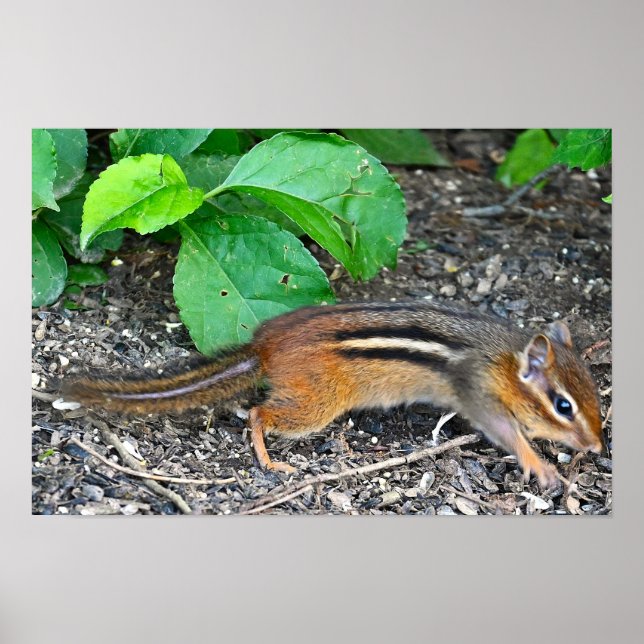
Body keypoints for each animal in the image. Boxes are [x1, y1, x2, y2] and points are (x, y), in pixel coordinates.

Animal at [63, 301, 604, 488]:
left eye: (596, 397)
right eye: (563, 406)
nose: (598, 447)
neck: (506, 359)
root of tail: (262, 350)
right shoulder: (479, 394)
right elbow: (504, 432)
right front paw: (539, 464)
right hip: (315, 406)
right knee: (258, 412)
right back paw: (269, 459)